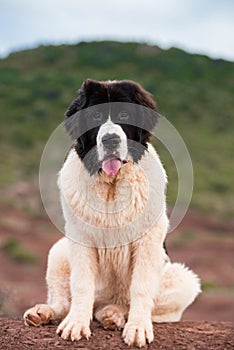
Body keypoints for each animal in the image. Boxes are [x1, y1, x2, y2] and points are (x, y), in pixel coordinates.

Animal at [23, 78, 200, 348]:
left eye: (124, 115)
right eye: (95, 116)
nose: (110, 140)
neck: (111, 185)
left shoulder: (149, 241)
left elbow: (140, 287)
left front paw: (138, 329)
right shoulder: (79, 238)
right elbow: (81, 284)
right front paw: (76, 324)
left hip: (182, 279)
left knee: (125, 304)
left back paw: (113, 315)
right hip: (59, 251)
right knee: (63, 301)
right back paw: (43, 313)